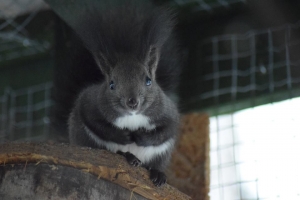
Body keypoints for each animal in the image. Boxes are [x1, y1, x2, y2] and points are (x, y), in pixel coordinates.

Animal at [52, 0, 182, 188]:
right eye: (111, 84)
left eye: (148, 81)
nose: (132, 102)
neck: (133, 117)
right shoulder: (90, 103)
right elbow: (96, 124)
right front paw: (123, 135)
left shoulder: (168, 111)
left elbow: (167, 130)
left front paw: (141, 137)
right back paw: (127, 156)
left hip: (161, 154)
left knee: (155, 162)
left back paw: (157, 173)